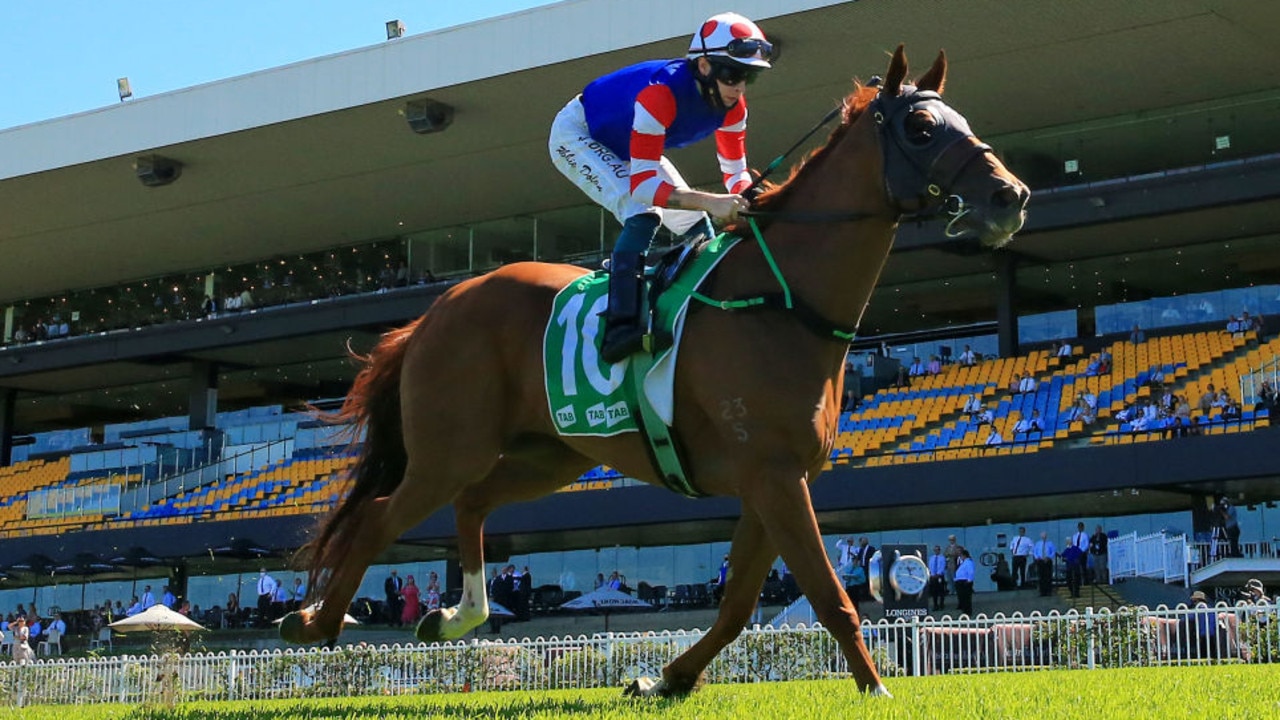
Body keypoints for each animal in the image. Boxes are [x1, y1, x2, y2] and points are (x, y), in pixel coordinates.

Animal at [280, 46, 1029, 696]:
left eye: (959, 119)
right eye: (922, 128)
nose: (1012, 195)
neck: (782, 302)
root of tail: (433, 313)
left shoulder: (774, 480)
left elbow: (737, 605)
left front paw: (663, 679)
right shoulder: (774, 476)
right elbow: (827, 594)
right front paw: (876, 688)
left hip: (551, 454)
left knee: (471, 504)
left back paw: (455, 614)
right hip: (449, 448)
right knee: (379, 516)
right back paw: (316, 622)